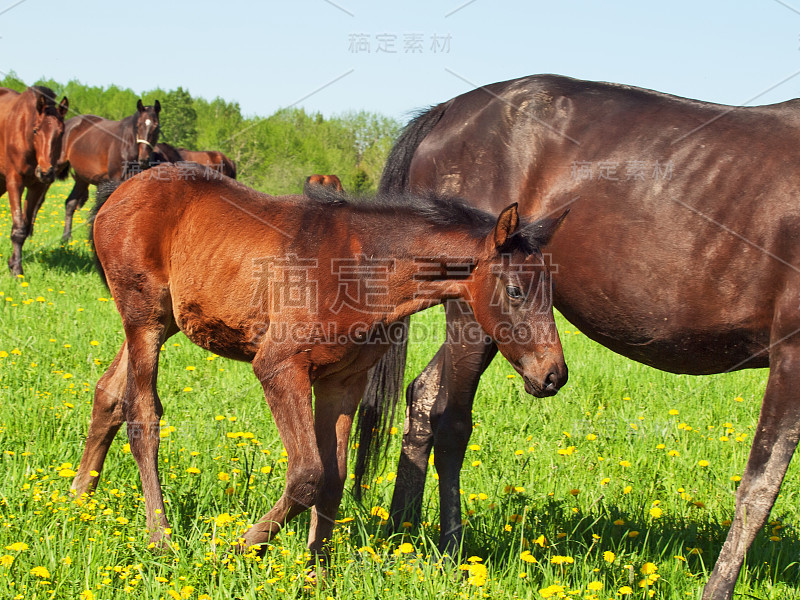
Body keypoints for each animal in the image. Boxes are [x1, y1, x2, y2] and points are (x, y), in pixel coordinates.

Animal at [0, 85, 68, 276]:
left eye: (61, 132)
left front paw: (13, 264)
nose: (46, 172)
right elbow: (19, 228)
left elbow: (25, 225)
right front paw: (17, 271)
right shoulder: (14, 182)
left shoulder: (37, 186)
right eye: (36, 130)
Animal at [58, 99, 161, 241]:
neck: (126, 145)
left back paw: (66, 238)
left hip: (81, 179)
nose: (144, 159)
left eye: (156, 126)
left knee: (70, 203)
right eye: (138, 125)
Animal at [70, 163, 568, 568]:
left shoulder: (344, 381)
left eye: (551, 289)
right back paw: (160, 538)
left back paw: (78, 502)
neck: (362, 268)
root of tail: (121, 189)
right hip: (145, 320)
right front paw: (241, 547)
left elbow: (334, 478)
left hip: (163, 322)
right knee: (142, 415)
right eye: (516, 290)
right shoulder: (279, 367)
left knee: (108, 394)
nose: (553, 375)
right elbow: (308, 474)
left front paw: (317, 572)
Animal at [362, 75, 800, 600]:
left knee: (423, 396)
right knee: (450, 421)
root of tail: (448, 111)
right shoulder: (792, 354)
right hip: (472, 317)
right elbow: (760, 484)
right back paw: (449, 551)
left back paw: (401, 537)